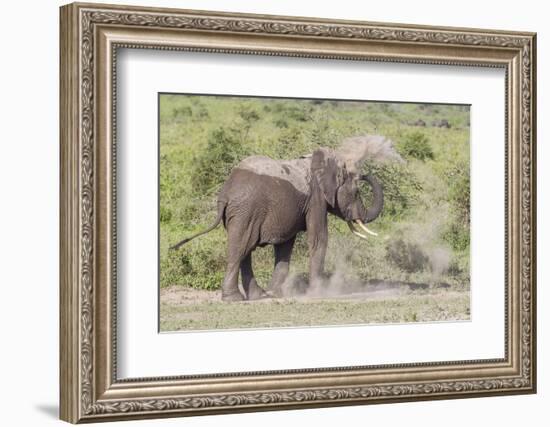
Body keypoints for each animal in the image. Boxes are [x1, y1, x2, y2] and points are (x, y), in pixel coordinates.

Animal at [172, 135, 388, 302]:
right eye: (356, 192)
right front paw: (317, 293)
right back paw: (234, 299)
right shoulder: (316, 199)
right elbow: (318, 238)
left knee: (245, 249)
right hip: (246, 211)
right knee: (241, 247)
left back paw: (257, 296)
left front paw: (275, 294)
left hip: (241, 214)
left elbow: (285, 246)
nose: (364, 174)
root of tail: (226, 192)